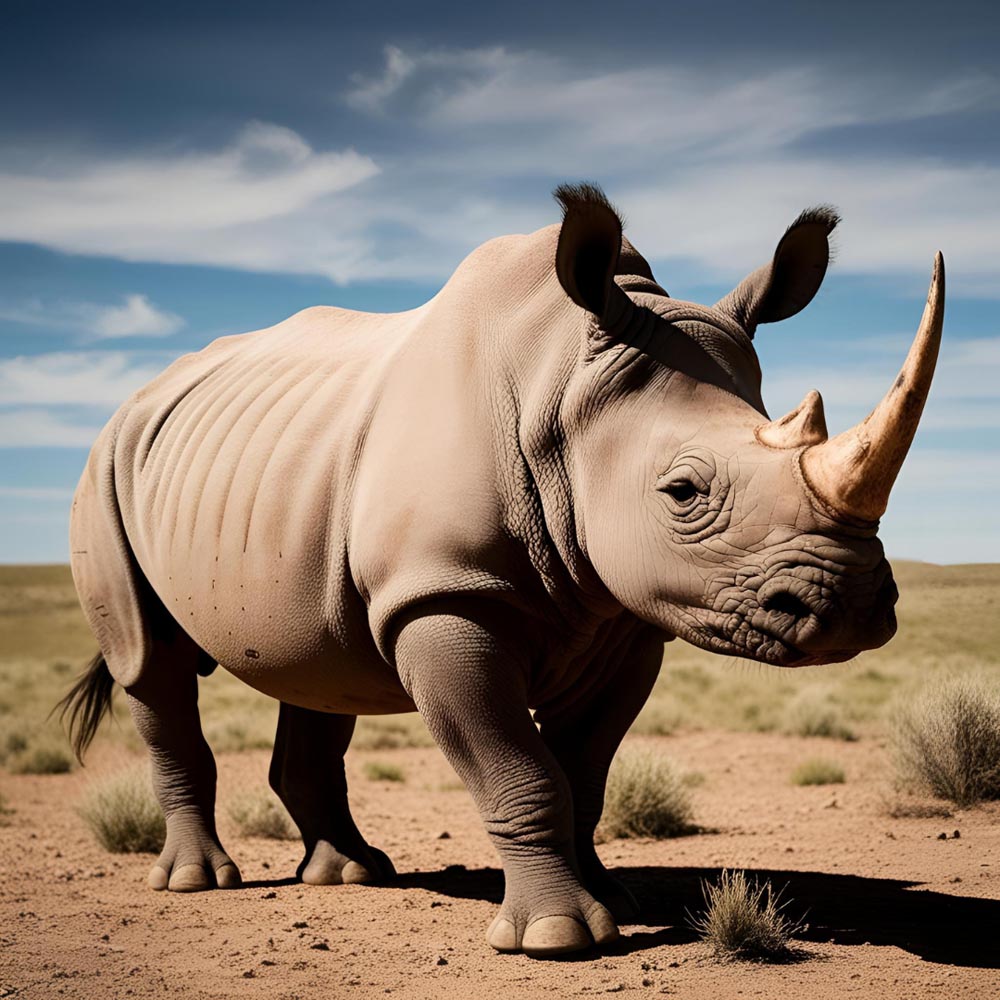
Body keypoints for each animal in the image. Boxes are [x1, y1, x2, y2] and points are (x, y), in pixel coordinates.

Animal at [61, 183, 944, 957]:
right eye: (684, 492)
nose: (852, 607)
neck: (560, 391)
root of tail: (141, 399)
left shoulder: (626, 614)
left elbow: (584, 772)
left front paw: (613, 897)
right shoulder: (441, 596)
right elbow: (520, 771)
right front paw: (559, 937)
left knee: (319, 665)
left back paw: (352, 874)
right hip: (104, 470)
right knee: (151, 664)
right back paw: (197, 882)